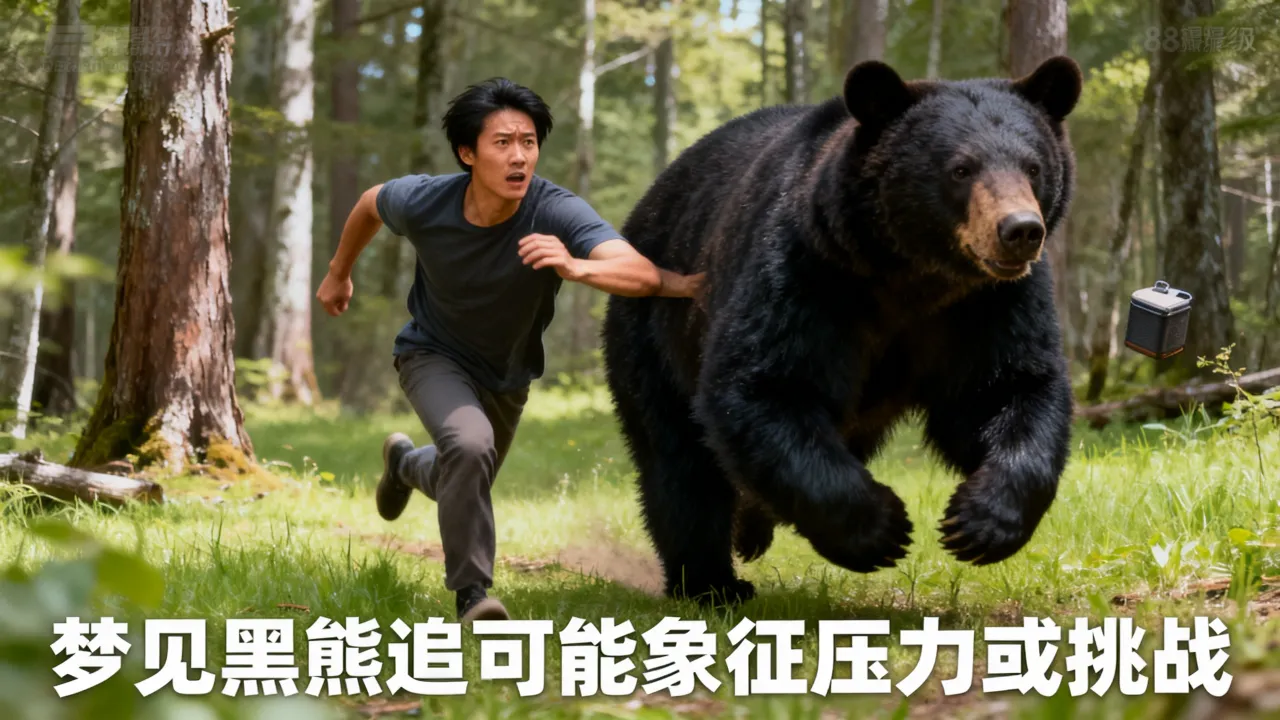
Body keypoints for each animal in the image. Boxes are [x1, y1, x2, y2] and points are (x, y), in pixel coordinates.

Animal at [601, 56, 1082, 604]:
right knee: (678, 461)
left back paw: (749, 528)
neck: (915, 276)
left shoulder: (990, 304)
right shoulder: (809, 273)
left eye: (1033, 166)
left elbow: (1009, 388)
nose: (1020, 230)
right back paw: (711, 582)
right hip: (652, 325)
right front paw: (881, 530)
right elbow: (765, 383)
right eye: (961, 168)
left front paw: (979, 522)